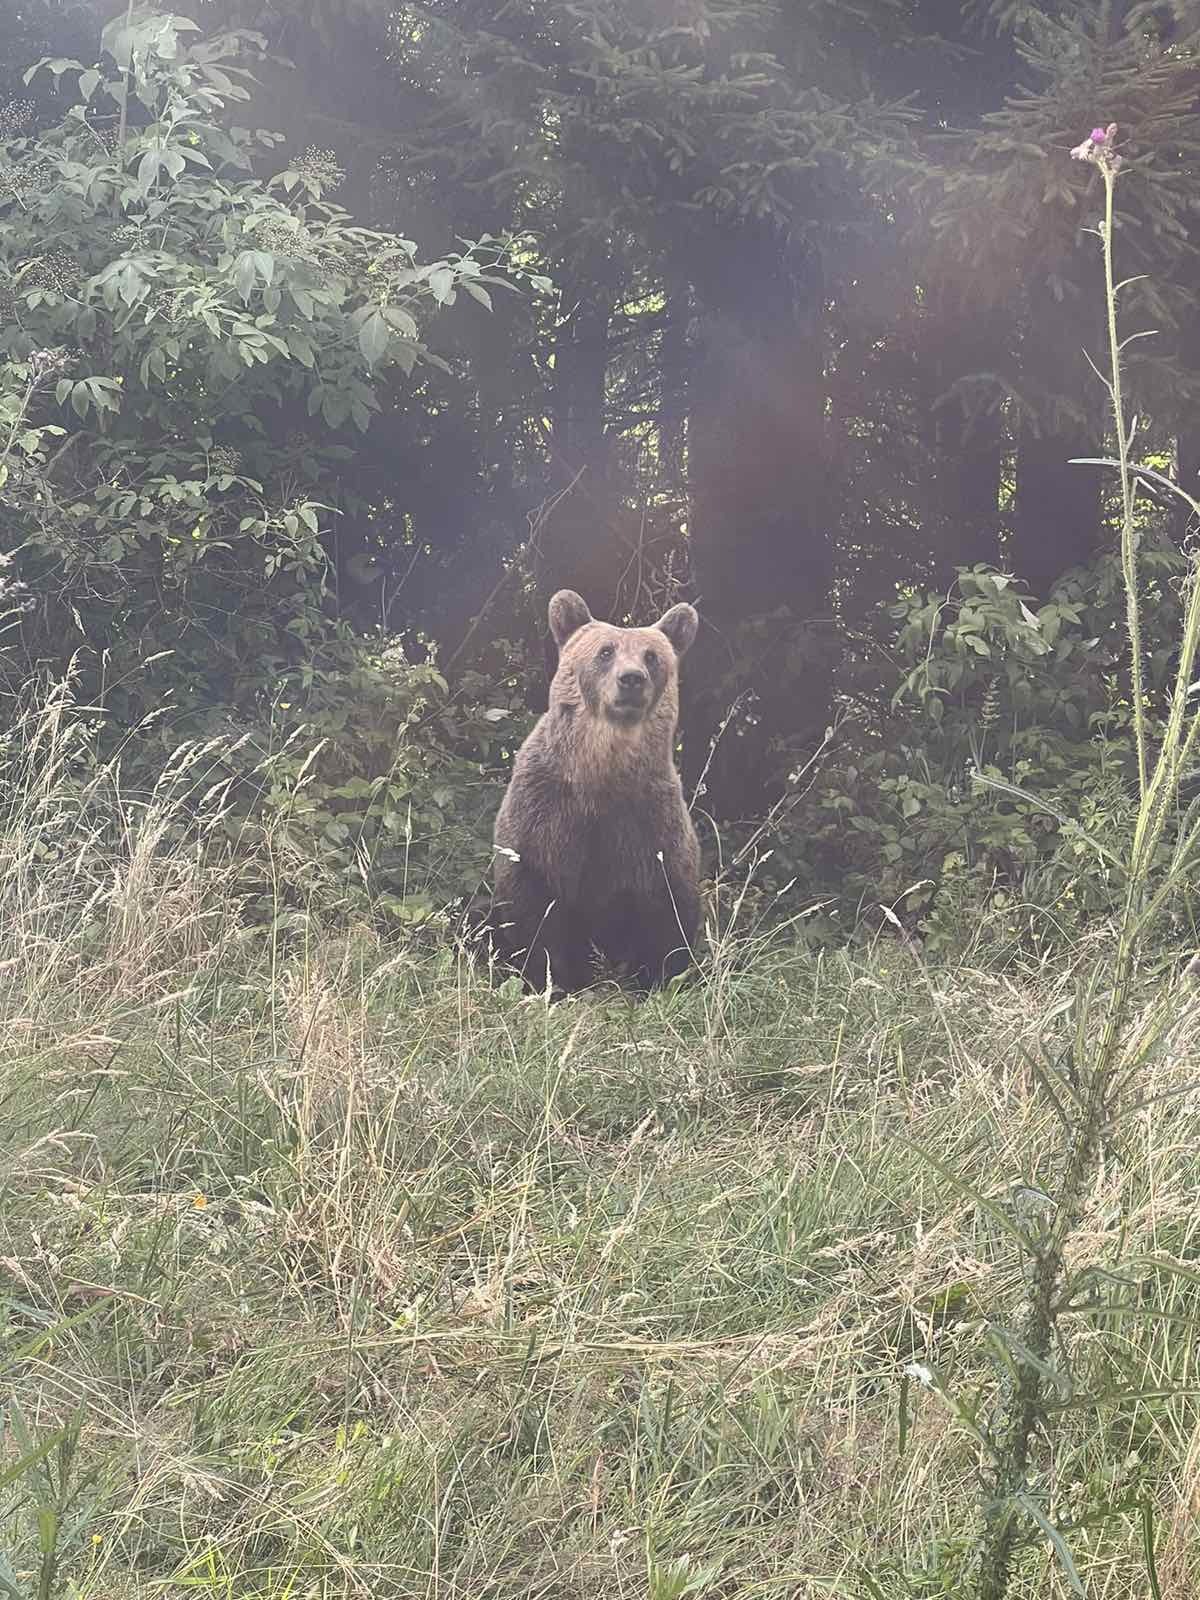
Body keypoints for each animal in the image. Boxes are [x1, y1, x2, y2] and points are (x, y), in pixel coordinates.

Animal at [489, 588, 704, 985]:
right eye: (605, 651)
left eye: (652, 656)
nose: (632, 679)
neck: (602, 769)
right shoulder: (544, 813)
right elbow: (532, 907)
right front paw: (551, 977)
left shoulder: (649, 822)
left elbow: (668, 910)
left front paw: (658, 976)